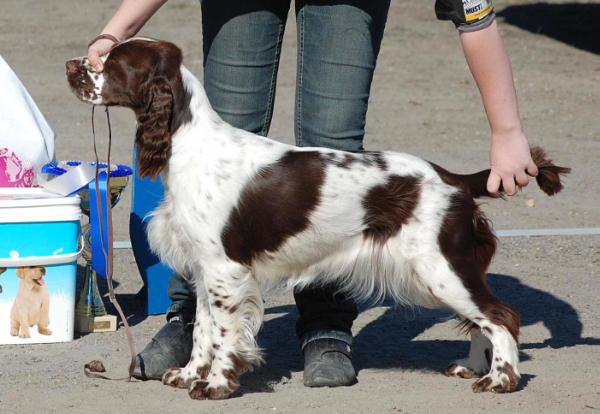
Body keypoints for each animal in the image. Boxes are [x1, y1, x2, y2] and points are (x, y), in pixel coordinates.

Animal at [67, 39, 572, 402]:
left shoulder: (225, 270)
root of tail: (455, 179)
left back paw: (499, 380)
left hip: (441, 267)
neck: (189, 144)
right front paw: (190, 373)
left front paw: (216, 385)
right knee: (483, 320)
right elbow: (203, 329)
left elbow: (224, 333)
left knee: (501, 316)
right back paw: (473, 367)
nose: (72, 65)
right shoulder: (204, 269)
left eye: (112, 62)